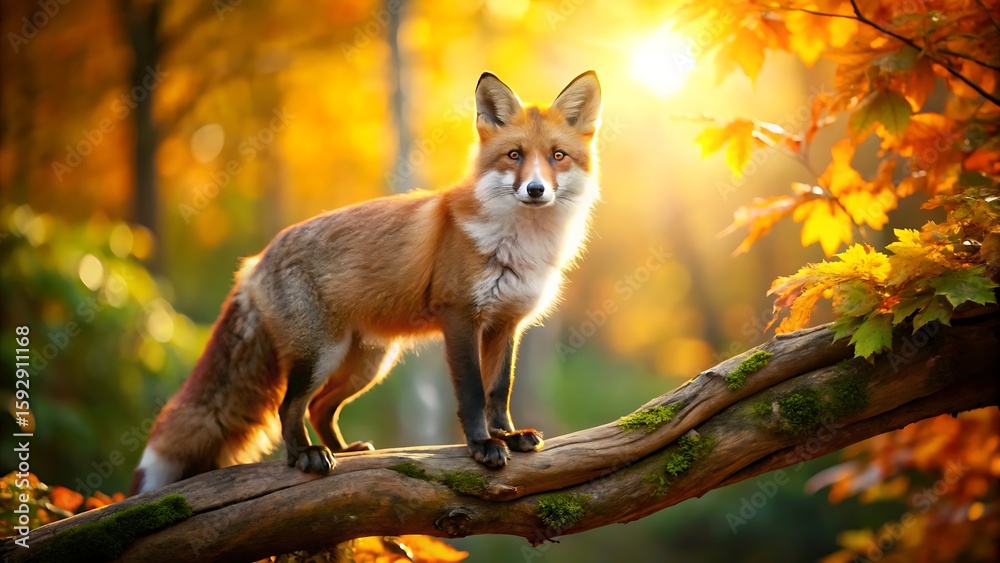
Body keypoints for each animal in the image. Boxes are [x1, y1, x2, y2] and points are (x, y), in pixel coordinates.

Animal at [131, 71, 602, 494]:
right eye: (514, 155)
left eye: (558, 156)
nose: (536, 189)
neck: (518, 244)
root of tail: (256, 260)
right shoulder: (459, 318)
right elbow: (472, 392)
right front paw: (482, 445)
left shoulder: (506, 325)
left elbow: (498, 392)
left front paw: (507, 435)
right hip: (319, 354)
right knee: (290, 407)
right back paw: (304, 456)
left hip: (365, 363)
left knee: (320, 407)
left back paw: (345, 451)